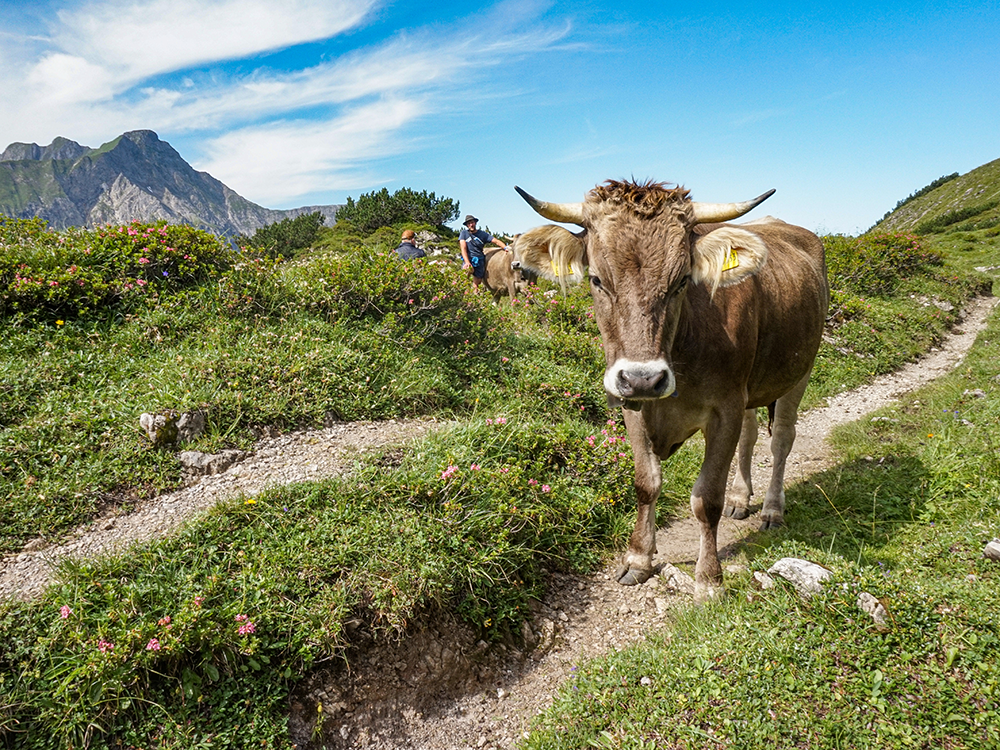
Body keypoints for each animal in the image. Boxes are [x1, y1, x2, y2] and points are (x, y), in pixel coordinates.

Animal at [516, 179, 828, 604]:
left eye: (681, 281)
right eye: (596, 279)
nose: (644, 378)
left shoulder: (725, 409)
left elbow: (705, 498)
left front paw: (709, 579)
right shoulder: (632, 404)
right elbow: (646, 484)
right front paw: (638, 559)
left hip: (800, 372)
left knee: (781, 439)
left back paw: (771, 509)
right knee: (750, 436)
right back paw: (740, 498)